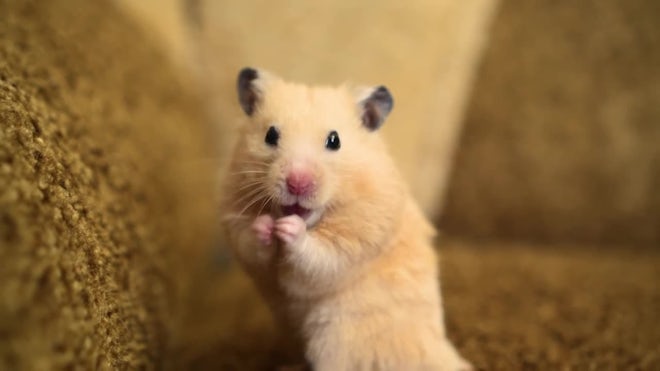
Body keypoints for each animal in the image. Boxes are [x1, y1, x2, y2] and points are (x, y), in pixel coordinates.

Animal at [222, 67, 470, 371]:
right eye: (270, 135)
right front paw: (266, 225)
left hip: (336, 338)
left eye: (334, 140)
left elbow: (318, 256)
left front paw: (290, 228)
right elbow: (251, 243)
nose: (297, 183)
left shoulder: (355, 240)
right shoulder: (235, 219)